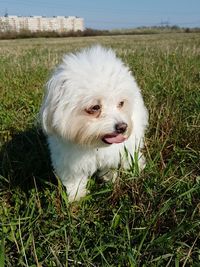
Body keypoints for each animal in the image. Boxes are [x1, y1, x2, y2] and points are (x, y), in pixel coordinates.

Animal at [40, 45, 148, 201]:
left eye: (121, 103)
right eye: (95, 107)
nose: (122, 127)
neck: (94, 145)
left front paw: (111, 178)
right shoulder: (68, 161)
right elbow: (74, 180)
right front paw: (77, 197)